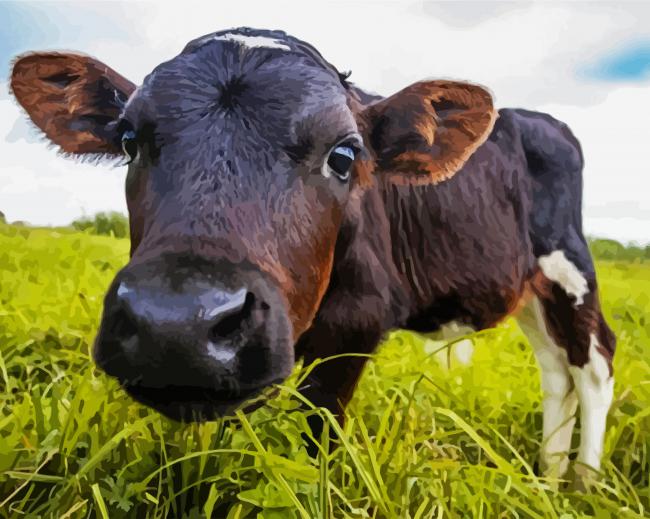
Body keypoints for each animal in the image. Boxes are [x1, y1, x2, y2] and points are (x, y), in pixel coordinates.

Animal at [10, 27, 615, 480]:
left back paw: (583, 481)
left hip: (570, 267)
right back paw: (548, 471)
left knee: (593, 364)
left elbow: (315, 433)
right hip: (532, 292)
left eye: (344, 155)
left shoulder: (358, 321)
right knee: (555, 369)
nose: (175, 324)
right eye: (130, 140)